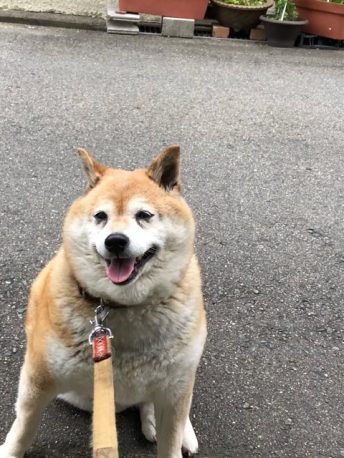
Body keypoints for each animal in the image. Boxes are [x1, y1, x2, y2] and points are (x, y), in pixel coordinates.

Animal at [0, 147, 207, 458]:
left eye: (144, 215)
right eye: (100, 216)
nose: (116, 240)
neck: (121, 306)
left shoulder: (176, 390)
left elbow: (171, 438)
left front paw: (176, 434)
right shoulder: (39, 378)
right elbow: (23, 426)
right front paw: (10, 450)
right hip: (82, 397)